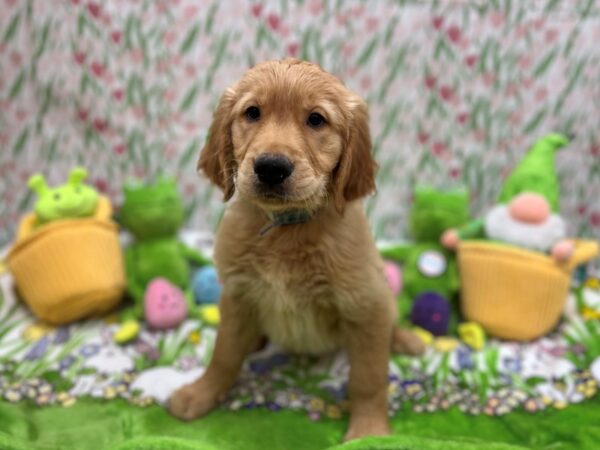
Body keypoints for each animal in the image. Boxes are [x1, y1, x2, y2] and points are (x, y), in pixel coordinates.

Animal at [168, 58, 422, 442]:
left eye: (316, 119)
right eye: (252, 112)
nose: (271, 167)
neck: (286, 228)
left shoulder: (366, 303)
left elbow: (368, 377)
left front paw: (369, 432)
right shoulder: (239, 294)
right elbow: (223, 354)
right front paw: (200, 394)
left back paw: (406, 340)